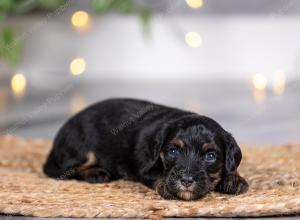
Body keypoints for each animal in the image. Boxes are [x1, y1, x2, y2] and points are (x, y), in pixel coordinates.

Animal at [42, 99, 248, 200]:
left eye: (210, 156)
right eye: (173, 152)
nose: (186, 181)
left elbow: (231, 168)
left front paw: (234, 179)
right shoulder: (145, 167)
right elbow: (157, 175)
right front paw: (165, 185)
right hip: (82, 149)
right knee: (69, 170)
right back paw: (96, 173)